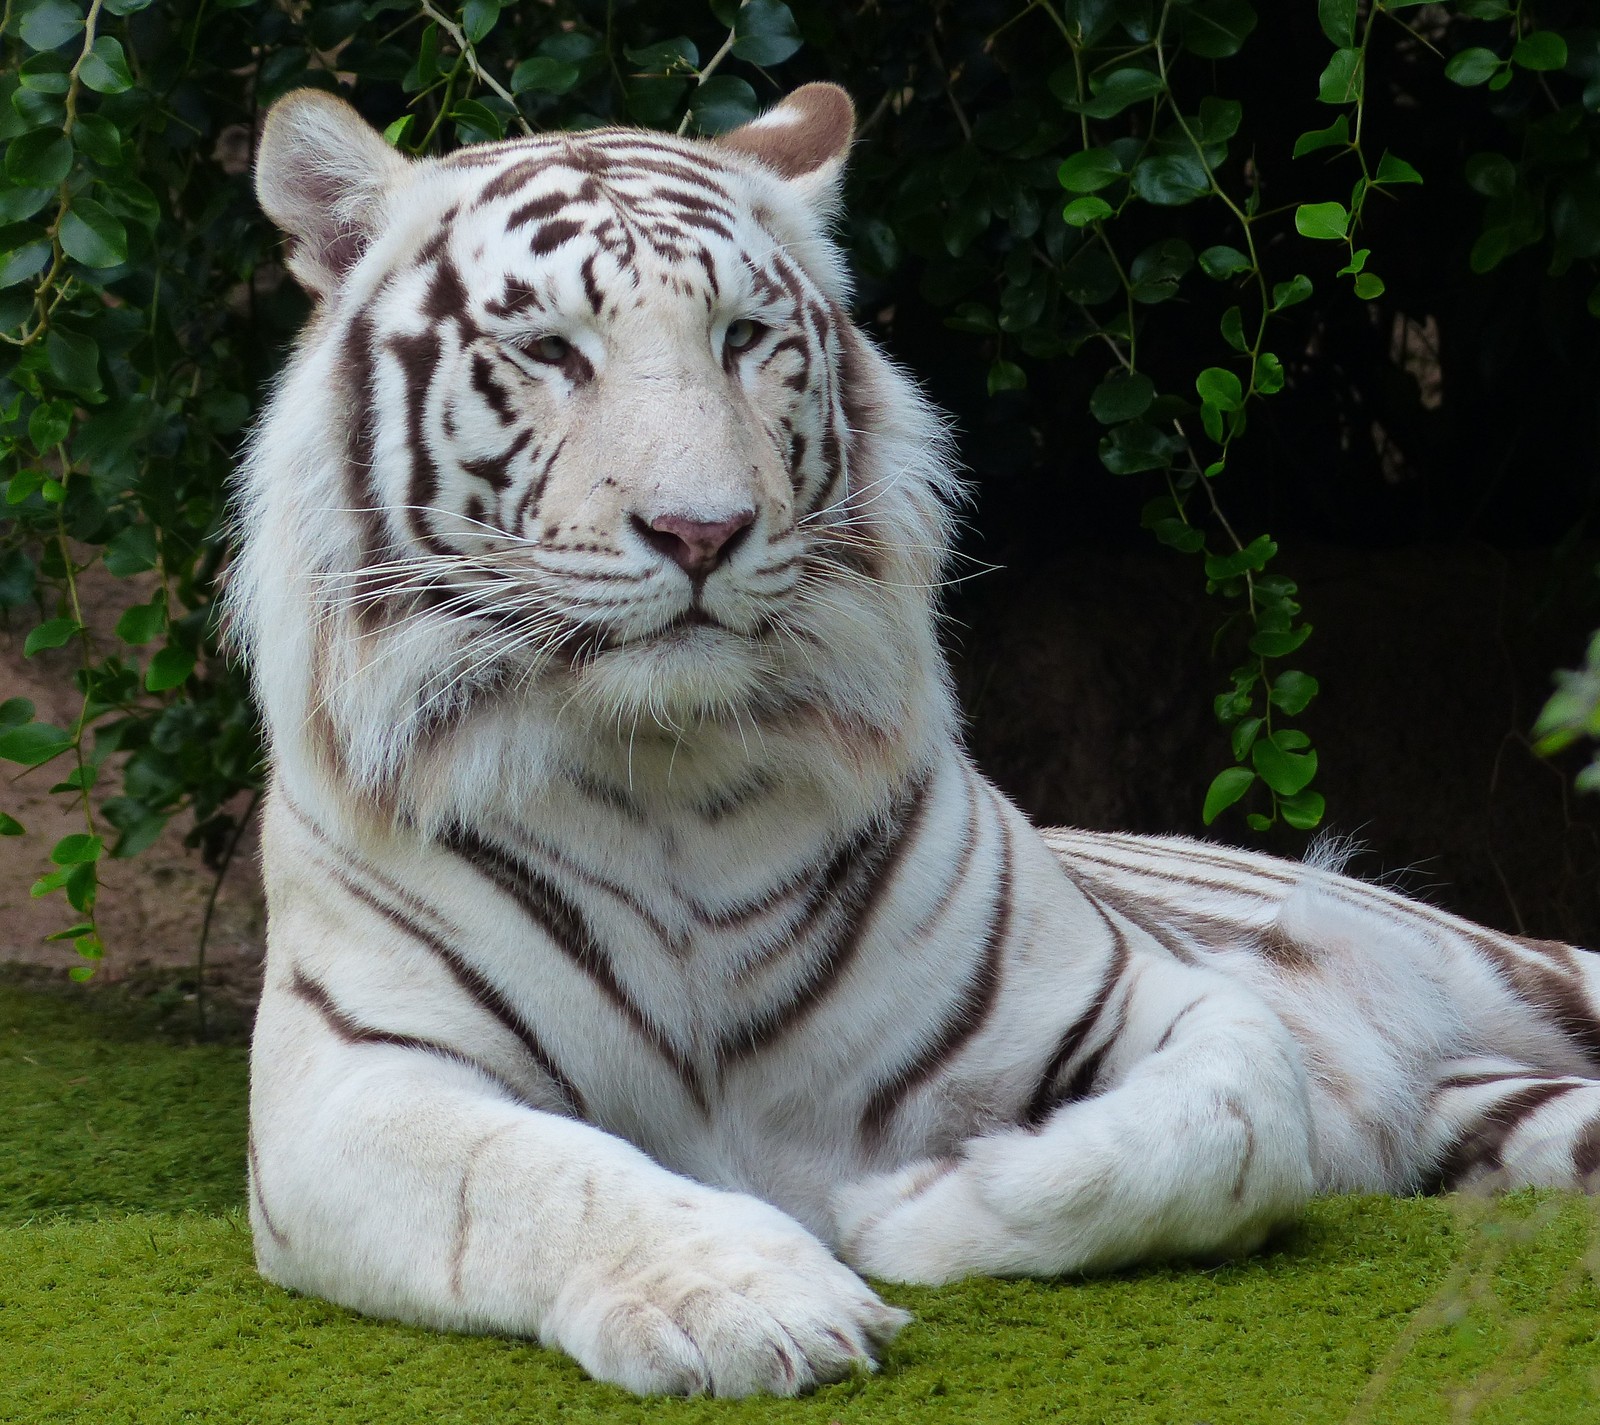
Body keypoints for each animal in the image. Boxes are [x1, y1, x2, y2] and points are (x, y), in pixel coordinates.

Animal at [233, 83, 1600, 1401]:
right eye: (551, 351)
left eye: (741, 339)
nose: (701, 530)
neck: (667, 776)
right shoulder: (348, 1086)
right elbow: (546, 1178)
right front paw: (753, 1301)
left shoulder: (1139, 990)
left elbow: (1235, 1120)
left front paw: (906, 1211)